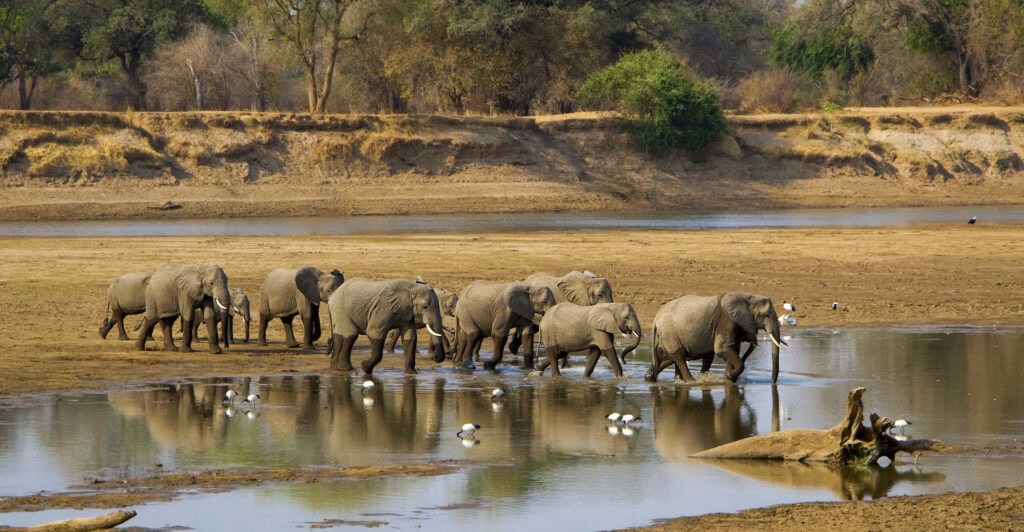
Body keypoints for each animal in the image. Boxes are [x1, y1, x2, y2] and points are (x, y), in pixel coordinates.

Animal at [646, 292, 786, 384]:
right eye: (766, 315)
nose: (773, 383)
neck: (748, 297)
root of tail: (656, 319)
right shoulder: (727, 320)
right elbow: (722, 349)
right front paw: (729, 377)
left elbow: (732, 350)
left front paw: (728, 378)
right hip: (669, 333)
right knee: (678, 356)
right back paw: (692, 381)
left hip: (666, 335)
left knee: (667, 357)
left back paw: (651, 378)